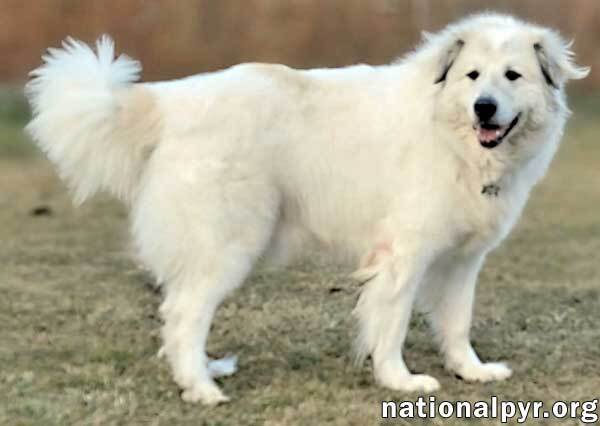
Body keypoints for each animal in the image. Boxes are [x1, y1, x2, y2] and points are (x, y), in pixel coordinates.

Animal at [27, 13, 584, 404]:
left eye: (512, 76)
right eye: (472, 75)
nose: (484, 108)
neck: (452, 135)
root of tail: (170, 101)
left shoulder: (462, 260)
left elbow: (457, 322)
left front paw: (471, 370)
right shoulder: (404, 255)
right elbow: (393, 322)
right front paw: (399, 380)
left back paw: (204, 372)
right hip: (229, 243)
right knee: (184, 314)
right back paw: (202, 389)